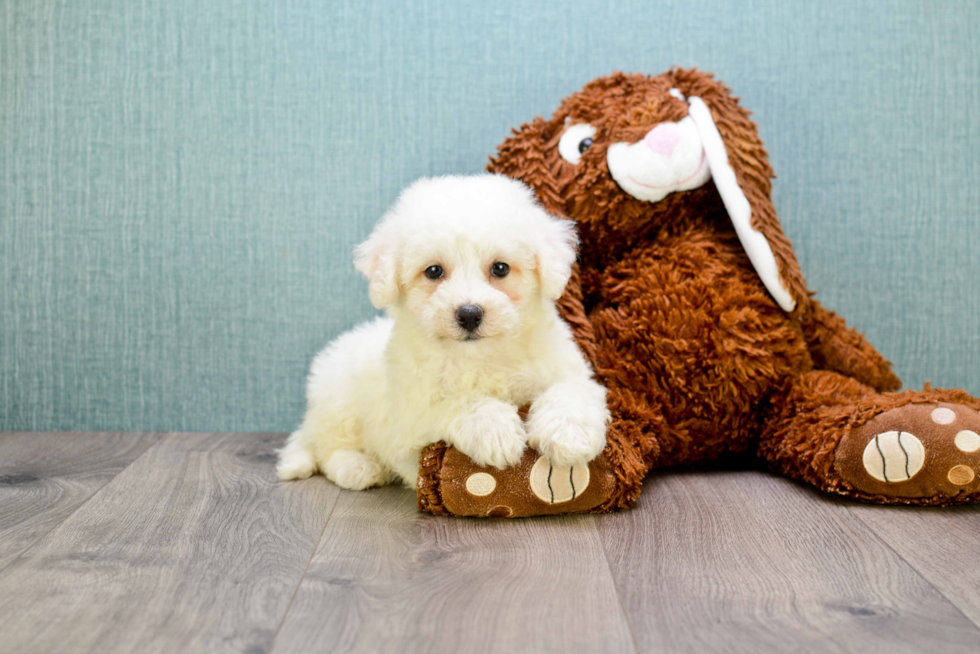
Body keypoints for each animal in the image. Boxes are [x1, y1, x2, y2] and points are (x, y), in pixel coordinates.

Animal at [276, 174, 608, 492]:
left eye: (500, 268)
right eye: (434, 271)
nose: (469, 313)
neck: (481, 357)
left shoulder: (567, 368)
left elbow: (571, 389)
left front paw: (569, 433)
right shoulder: (410, 419)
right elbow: (457, 402)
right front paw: (495, 430)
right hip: (339, 402)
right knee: (328, 447)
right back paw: (358, 467)